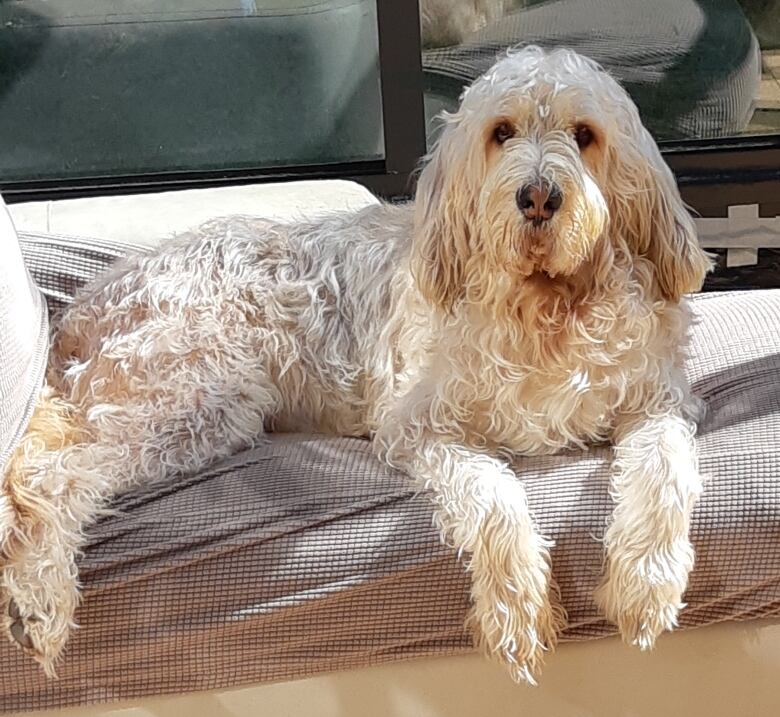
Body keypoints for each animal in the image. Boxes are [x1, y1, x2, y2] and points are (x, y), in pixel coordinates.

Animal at [0, 46, 708, 684]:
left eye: (585, 136)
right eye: (501, 132)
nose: (538, 197)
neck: (547, 310)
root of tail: (81, 311)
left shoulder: (657, 403)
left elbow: (666, 472)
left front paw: (646, 585)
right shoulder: (421, 427)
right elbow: (494, 499)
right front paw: (518, 610)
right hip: (195, 397)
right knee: (47, 476)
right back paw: (41, 600)